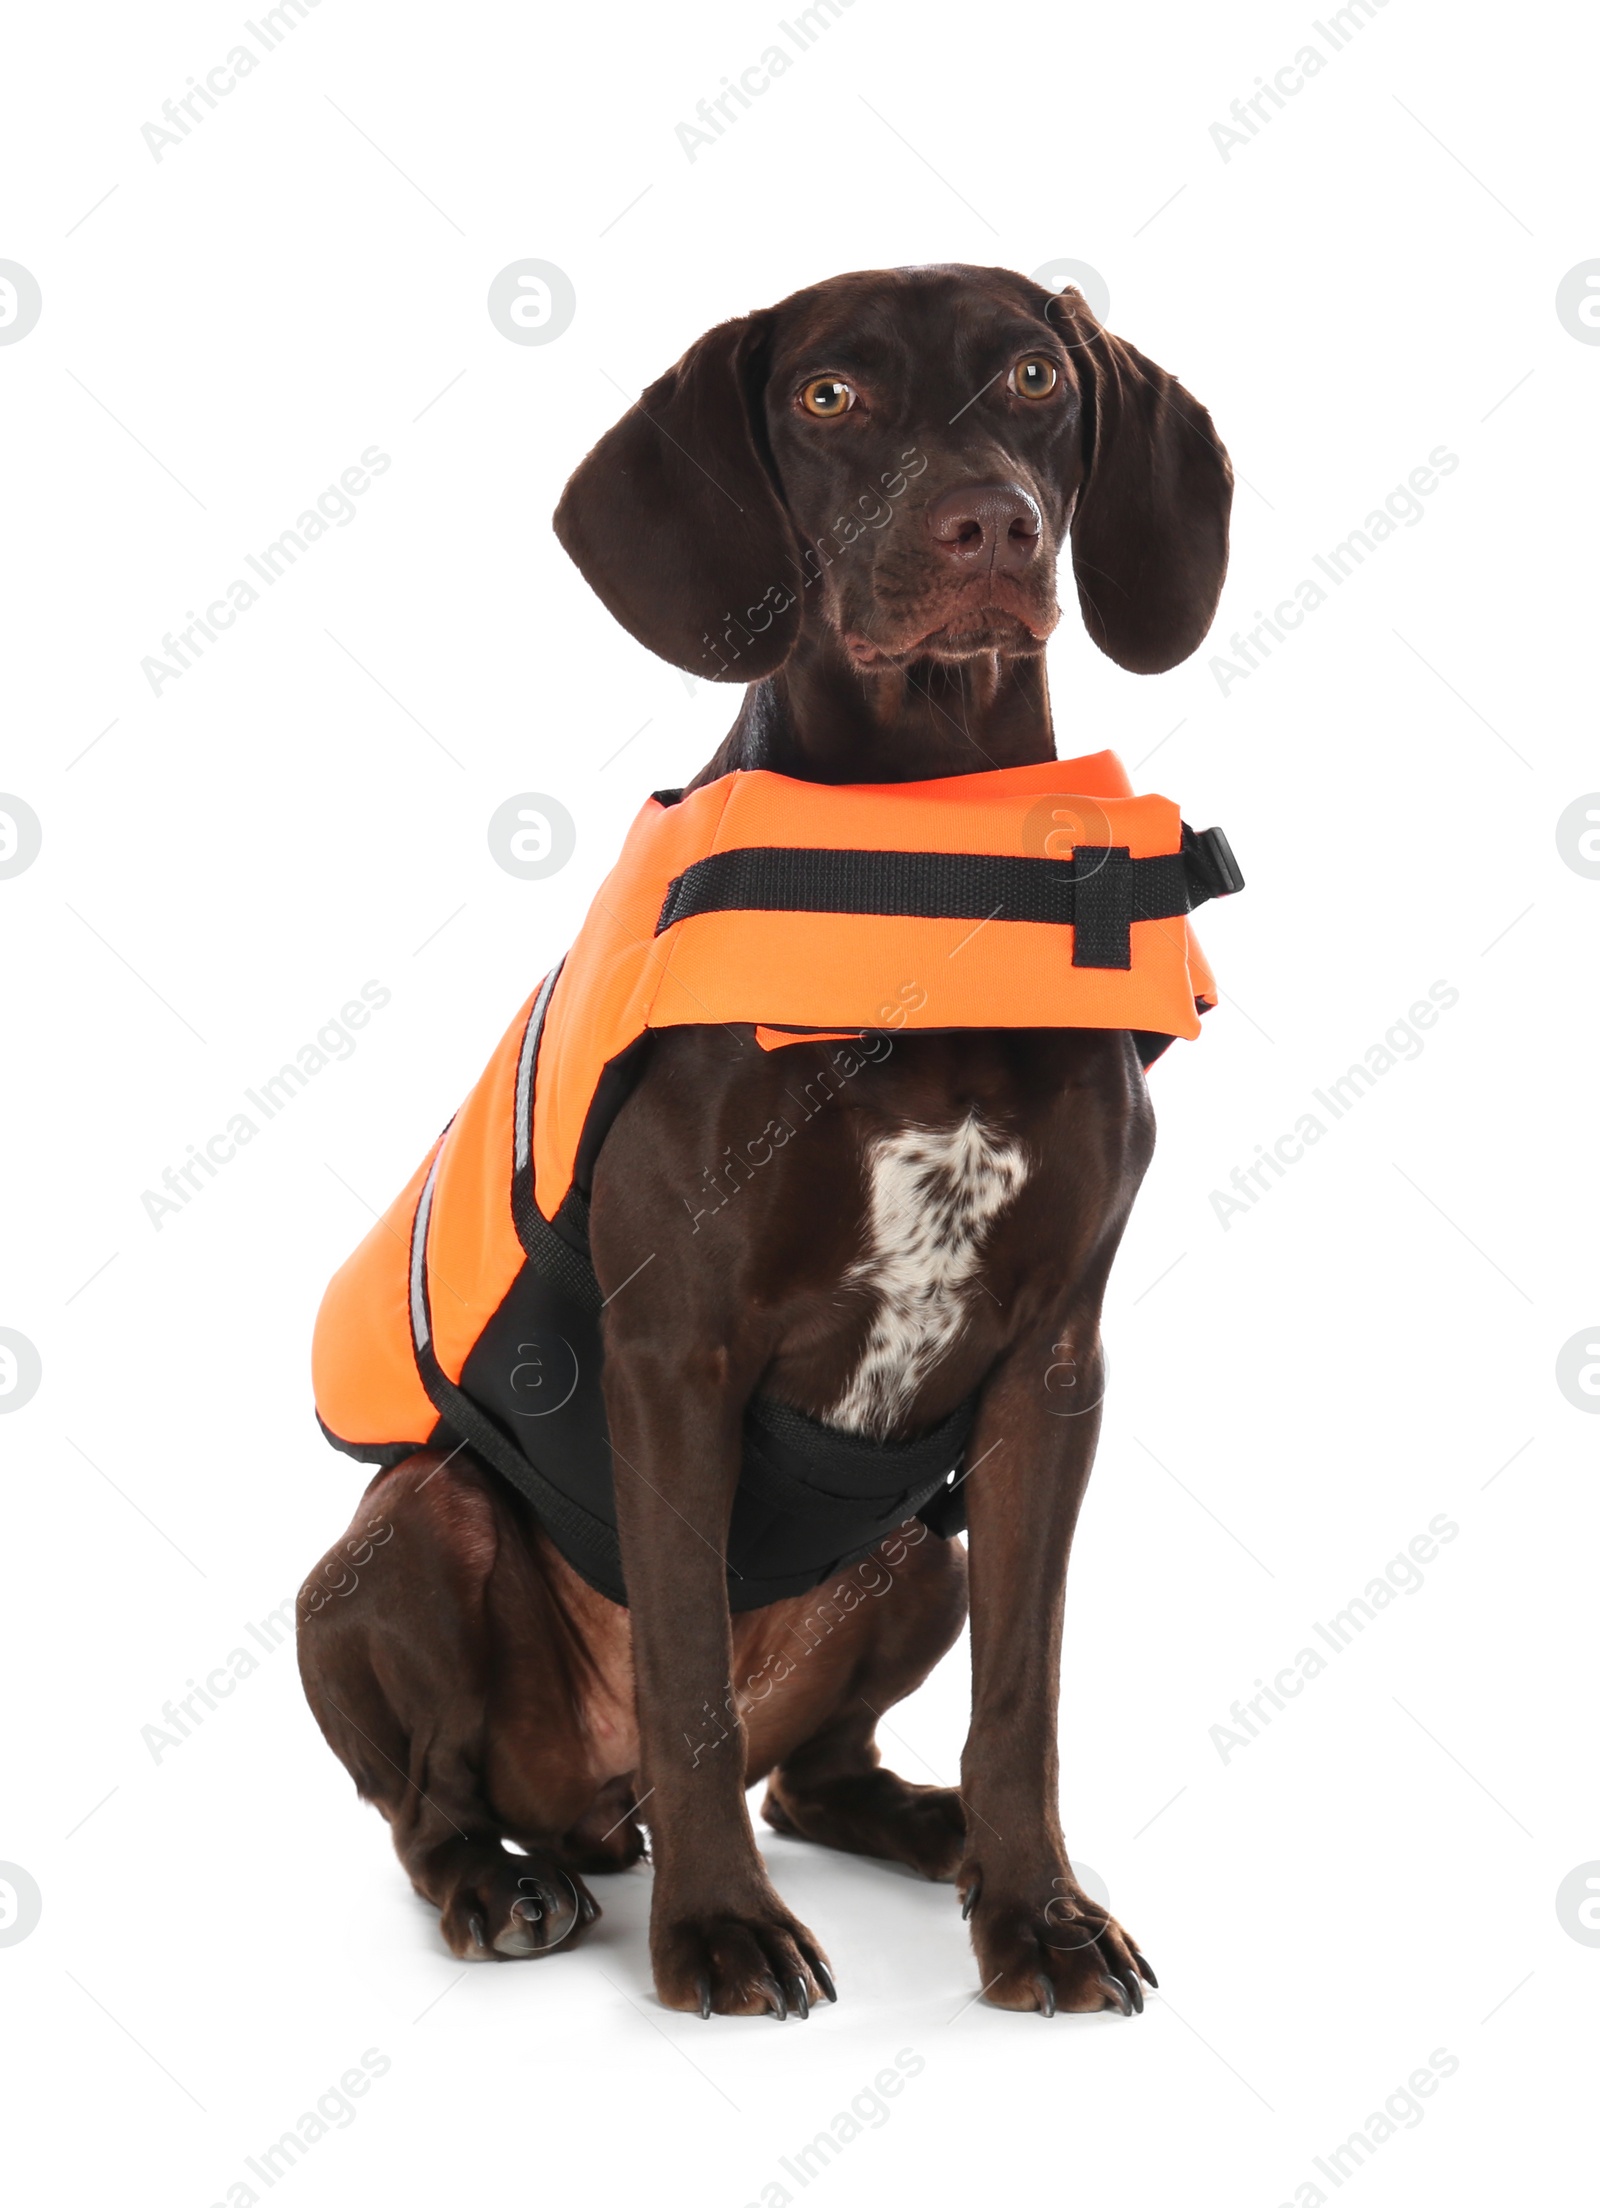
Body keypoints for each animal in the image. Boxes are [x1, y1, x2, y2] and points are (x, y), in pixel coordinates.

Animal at [293, 258, 1227, 2022]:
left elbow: (1023, 1704)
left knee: (819, 1774)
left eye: (1033, 377)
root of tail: (595, 1814)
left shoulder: (1051, 1370)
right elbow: (684, 1682)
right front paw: (721, 1930)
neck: (920, 864)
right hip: (403, 1540)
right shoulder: (677, 1353)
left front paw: (1041, 1913)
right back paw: (505, 1886)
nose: (990, 528)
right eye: (827, 397)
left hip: (914, 1554)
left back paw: (941, 1840)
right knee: (435, 1802)